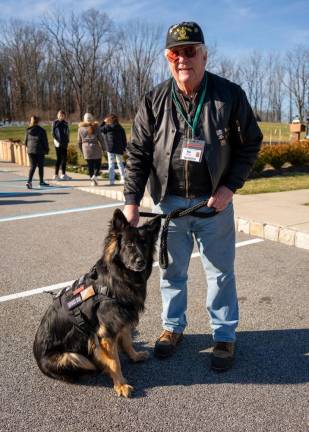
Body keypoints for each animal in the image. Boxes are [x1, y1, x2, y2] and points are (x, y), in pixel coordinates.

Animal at [32, 209, 160, 398]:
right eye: (129, 244)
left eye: (144, 244)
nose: (141, 262)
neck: (117, 279)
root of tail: (37, 360)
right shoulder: (106, 333)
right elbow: (114, 362)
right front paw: (120, 385)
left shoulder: (122, 320)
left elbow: (127, 341)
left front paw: (134, 356)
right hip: (73, 357)